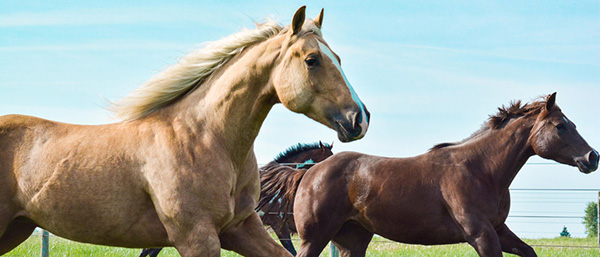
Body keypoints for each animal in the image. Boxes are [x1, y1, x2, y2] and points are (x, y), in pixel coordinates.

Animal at [270, 92, 596, 256]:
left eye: (572, 124)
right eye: (560, 126)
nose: (593, 157)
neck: (482, 170)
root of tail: (309, 172)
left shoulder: (499, 230)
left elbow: (529, 252)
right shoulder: (481, 234)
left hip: (352, 239)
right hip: (315, 237)